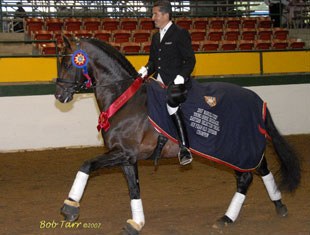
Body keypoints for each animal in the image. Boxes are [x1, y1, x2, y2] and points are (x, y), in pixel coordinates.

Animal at [55, 37, 300, 234]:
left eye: (67, 64)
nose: (59, 95)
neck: (124, 99)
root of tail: (258, 100)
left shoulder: (123, 153)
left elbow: (86, 165)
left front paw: (70, 207)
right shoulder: (127, 157)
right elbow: (134, 188)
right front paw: (136, 223)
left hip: (236, 149)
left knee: (246, 177)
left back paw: (231, 216)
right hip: (242, 149)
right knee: (260, 169)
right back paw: (274, 207)